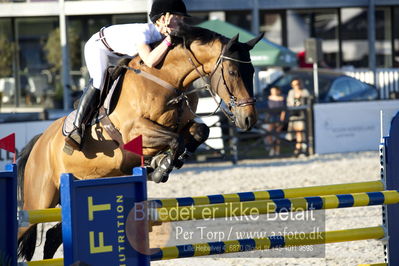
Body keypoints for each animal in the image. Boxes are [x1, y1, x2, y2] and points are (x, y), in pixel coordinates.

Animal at [18, 24, 262, 260]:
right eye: (232, 72)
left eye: (252, 71)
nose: (248, 119)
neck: (167, 80)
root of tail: (40, 142)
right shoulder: (135, 131)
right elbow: (175, 140)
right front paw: (160, 168)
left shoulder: (181, 125)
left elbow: (199, 131)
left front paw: (166, 162)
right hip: (39, 201)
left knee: (53, 237)